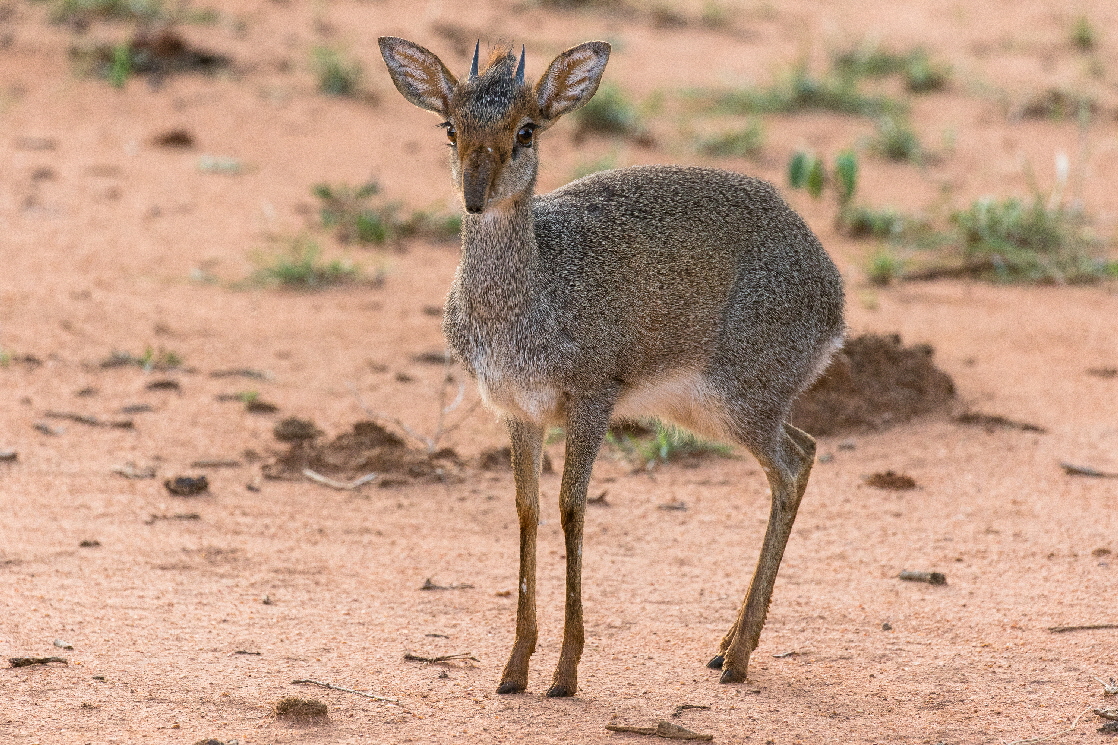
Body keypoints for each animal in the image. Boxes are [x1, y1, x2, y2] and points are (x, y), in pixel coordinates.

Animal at [380, 37, 840, 693]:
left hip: (740, 400)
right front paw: (515, 667)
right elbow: (528, 511)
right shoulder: (518, 411)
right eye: (451, 127)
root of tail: (833, 292)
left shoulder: (592, 399)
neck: (526, 294)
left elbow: (572, 508)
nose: (475, 195)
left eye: (526, 130)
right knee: (804, 448)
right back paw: (724, 647)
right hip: (708, 409)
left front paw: (566, 671)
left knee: (791, 468)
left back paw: (738, 657)